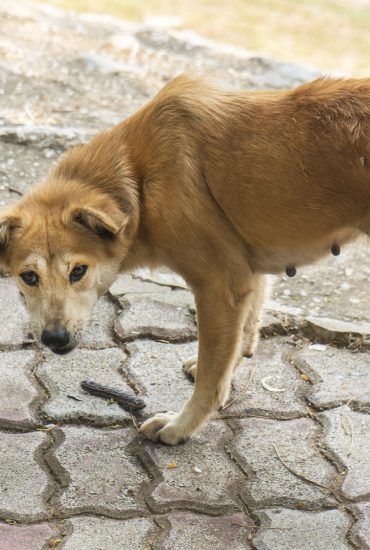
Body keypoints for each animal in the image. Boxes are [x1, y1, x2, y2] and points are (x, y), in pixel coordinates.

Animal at [0, 75, 370, 444]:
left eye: (78, 271)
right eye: (28, 277)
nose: (55, 339)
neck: (139, 177)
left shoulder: (220, 285)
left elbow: (210, 376)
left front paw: (181, 426)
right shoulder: (248, 272)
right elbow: (243, 333)